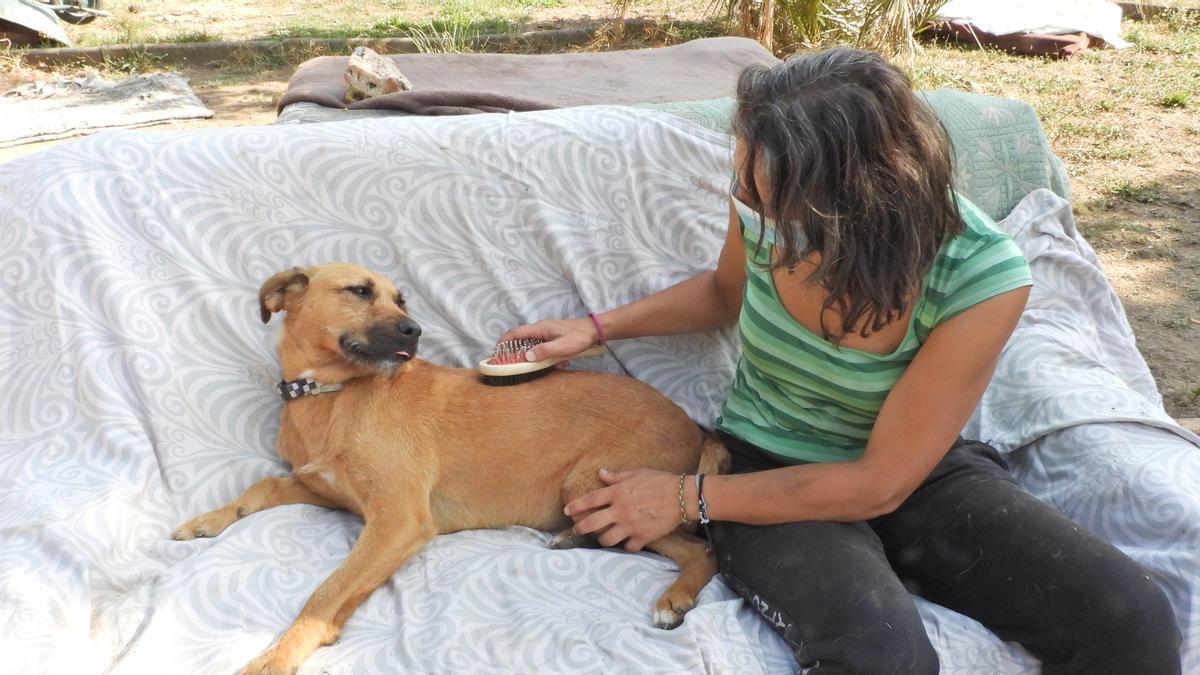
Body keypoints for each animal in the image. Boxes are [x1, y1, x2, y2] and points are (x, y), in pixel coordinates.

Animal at [170, 263, 729, 672]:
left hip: (592, 483)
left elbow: (323, 594)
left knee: (700, 550)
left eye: (402, 300)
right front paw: (206, 521)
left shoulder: (399, 520)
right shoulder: (330, 491)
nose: (415, 331)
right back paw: (575, 538)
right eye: (358, 290)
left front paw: (275, 658)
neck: (332, 395)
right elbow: (264, 487)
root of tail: (696, 427)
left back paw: (672, 598)